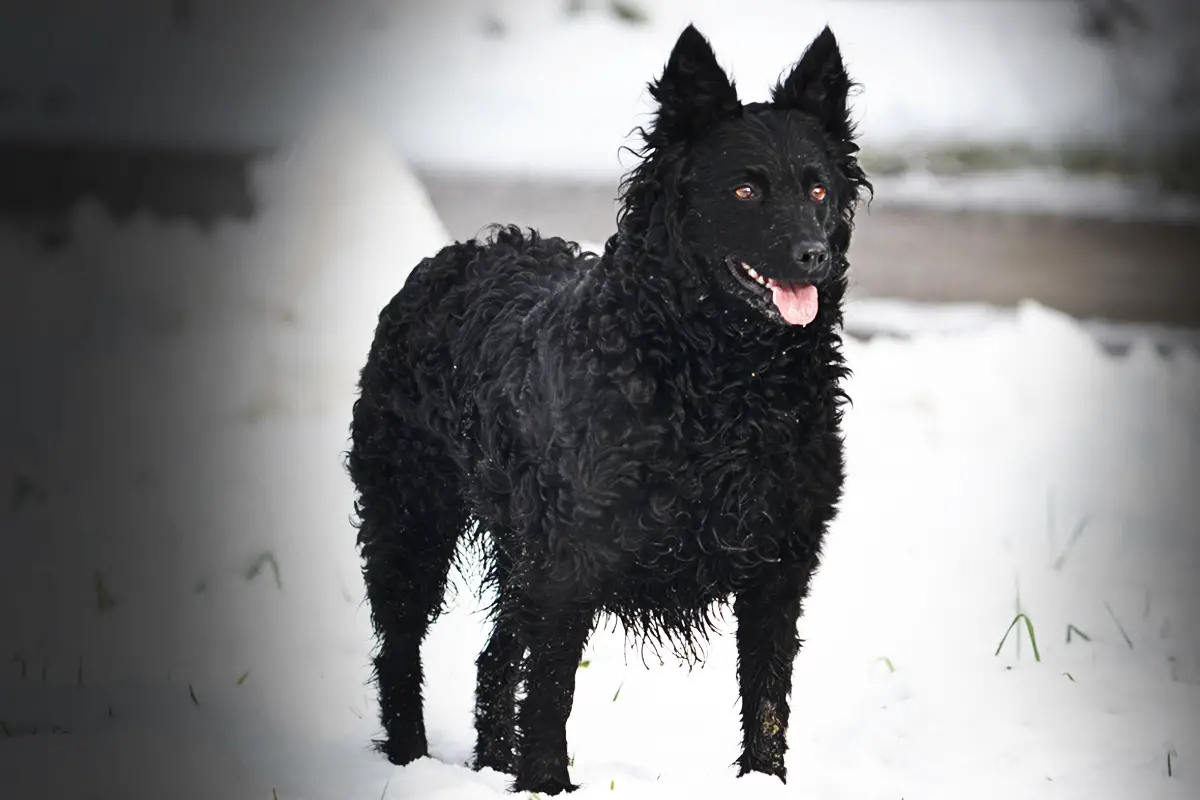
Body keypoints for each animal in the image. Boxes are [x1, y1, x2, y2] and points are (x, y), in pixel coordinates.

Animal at [348, 23, 873, 796]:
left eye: (817, 190)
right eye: (746, 188)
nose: (814, 257)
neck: (721, 381)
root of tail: (448, 257)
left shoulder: (781, 568)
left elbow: (767, 704)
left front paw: (763, 780)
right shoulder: (569, 564)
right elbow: (552, 694)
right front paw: (543, 782)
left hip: (515, 546)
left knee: (494, 659)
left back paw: (489, 765)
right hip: (411, 518)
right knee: (399, 652)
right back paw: (411, 762)